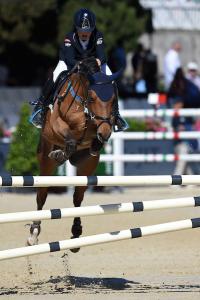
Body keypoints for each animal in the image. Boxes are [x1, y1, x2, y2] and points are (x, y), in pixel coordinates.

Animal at [27, 56, 121, 251]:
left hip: (87, 167)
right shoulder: (56, 125)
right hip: (45, 163)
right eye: (92, 98)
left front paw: (94, 142)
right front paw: (60, 152)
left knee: (78, 197)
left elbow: (91, 140)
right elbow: (69, 138)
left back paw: (76, 232)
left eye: (113, 99)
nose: (105, 133)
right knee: (42, 195)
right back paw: (34, 233)